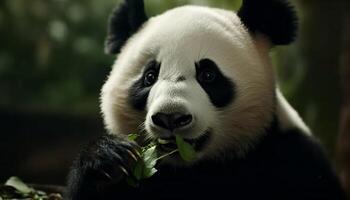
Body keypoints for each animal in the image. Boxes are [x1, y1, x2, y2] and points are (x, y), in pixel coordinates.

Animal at [67, 0, 346, 199]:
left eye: (208, 75)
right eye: (149, 76)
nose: (171, 116)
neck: (197, 168)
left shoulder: (293, 159)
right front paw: (108, 160)